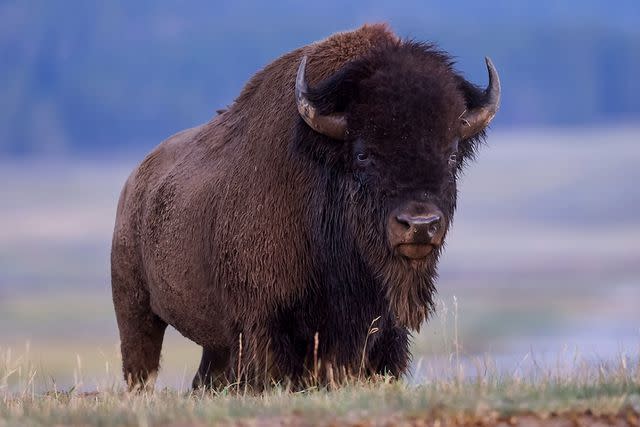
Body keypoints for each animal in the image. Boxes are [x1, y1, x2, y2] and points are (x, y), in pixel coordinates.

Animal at [110, 24, 500, 392]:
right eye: (363, 154)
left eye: (452, 155)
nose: (419, 224)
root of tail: (134, 183)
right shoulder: (266, 327)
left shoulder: (383, 333)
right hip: (136, 311)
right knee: (141, 364)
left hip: (214, 344)